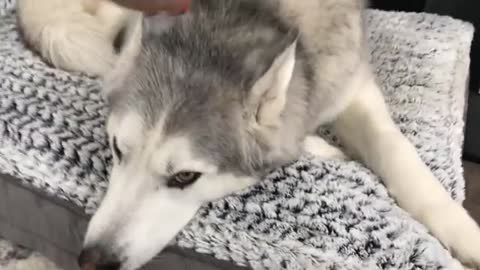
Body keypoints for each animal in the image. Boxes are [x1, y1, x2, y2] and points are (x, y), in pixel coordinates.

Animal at [17, 0, 480, 270]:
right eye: (117, 149)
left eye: (185, 177)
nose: (92, 260)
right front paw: (314, 145)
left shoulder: (352, 82)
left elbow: (398, 154)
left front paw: (464, 234)